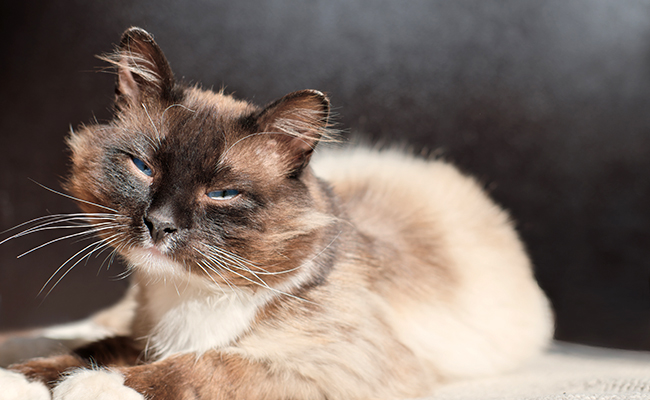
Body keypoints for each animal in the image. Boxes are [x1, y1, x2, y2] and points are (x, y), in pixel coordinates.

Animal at [0, 26, 552, 398]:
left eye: (222, 194)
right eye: (142, 168)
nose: (159, 225)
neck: (188, 296)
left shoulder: (328, 366)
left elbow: (201, 366)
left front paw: (92, 386)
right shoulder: (147, 336)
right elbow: (94, 349)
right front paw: (26, 379)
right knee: (87, 327)